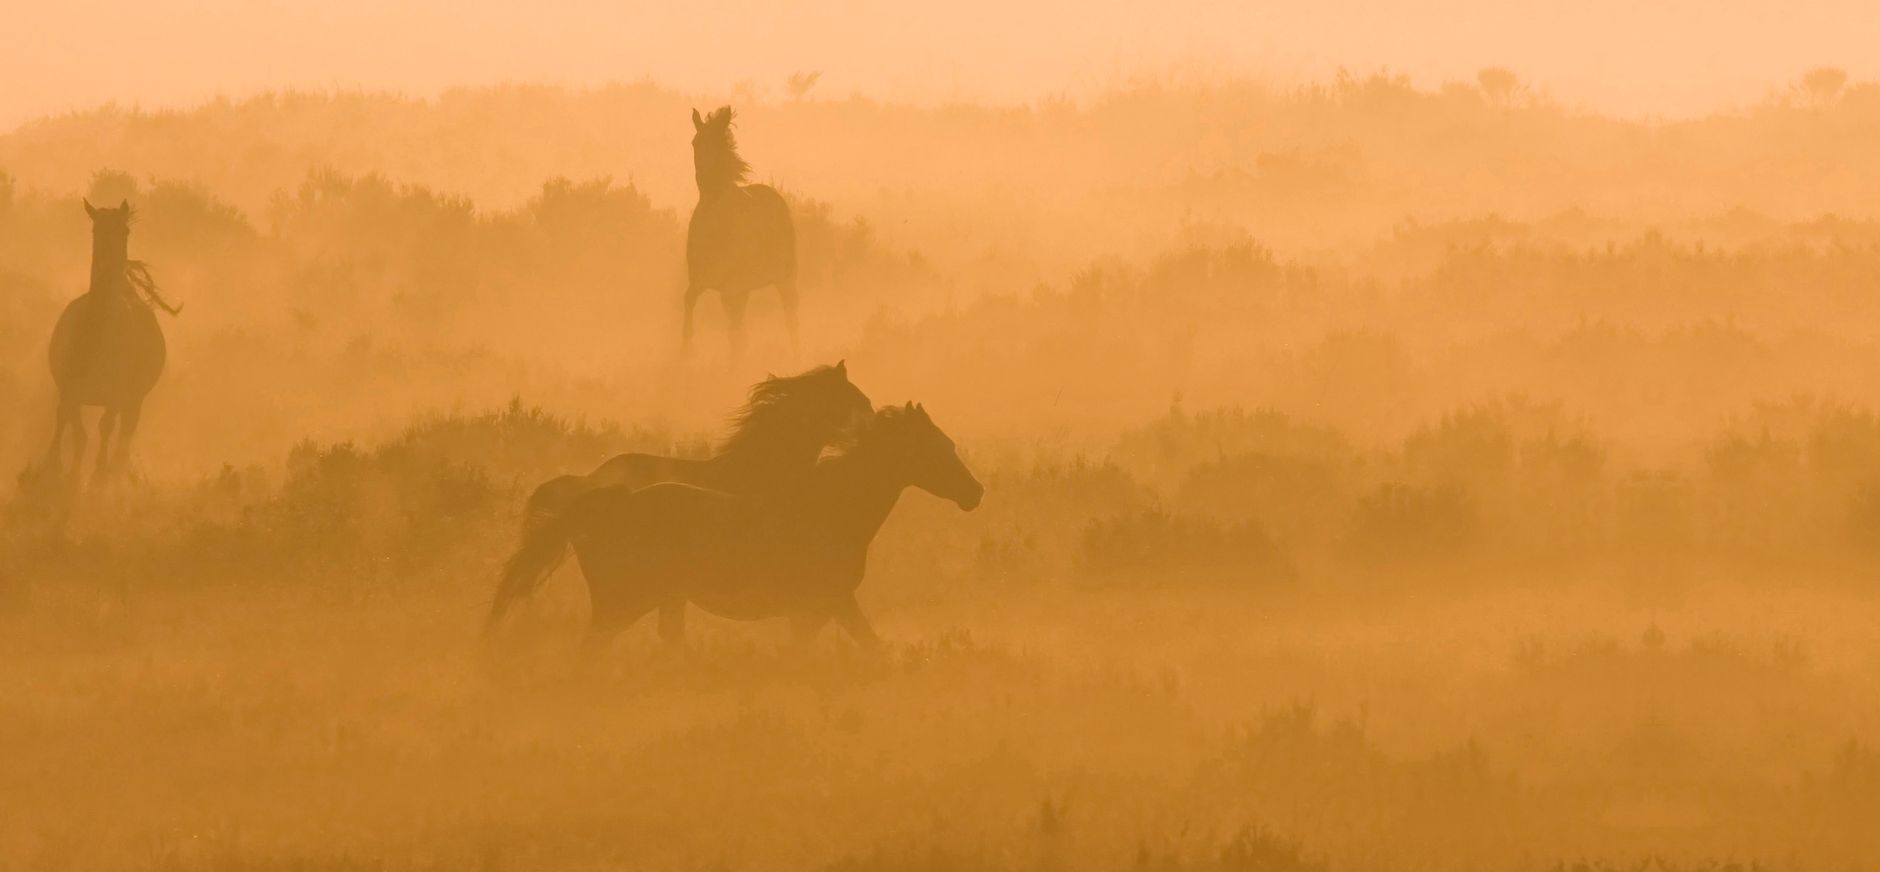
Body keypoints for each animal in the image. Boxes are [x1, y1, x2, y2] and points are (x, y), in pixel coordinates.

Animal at [44, 199, 172, 484]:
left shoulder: (115, 396)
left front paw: (95, 477)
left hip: (134, 402)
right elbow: (75, 431)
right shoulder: (70, 391)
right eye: (96, 230)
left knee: (122, 441)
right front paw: (59, 471)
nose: (112, 270)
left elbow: (103, 430)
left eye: (125, 231)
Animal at [488, 403, 982, 653]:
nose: (975, 492)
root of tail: (606, 504)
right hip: (621, 605)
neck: (831, 510)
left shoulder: (819, 611)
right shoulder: (828, 603)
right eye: (936, 447)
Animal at [682, 106, 797, 354]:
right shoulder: (700, 281)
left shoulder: (733, 287)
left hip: (784, 279)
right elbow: (688, 311)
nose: (708, 180)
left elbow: (735, 336)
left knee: (791, 320)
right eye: (695, 143)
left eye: (719, 142)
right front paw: (685, 353)